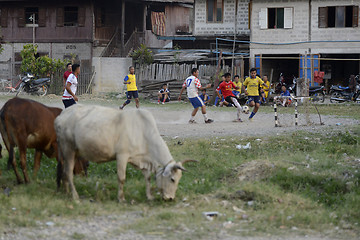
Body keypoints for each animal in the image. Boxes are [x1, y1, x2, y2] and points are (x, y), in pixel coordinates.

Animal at [54, 105, 194, 201]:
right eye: (172, 179)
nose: (170, 198)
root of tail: (61, 115)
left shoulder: (141, 159)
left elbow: (147, 178)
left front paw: (149, 196)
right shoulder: (122, 156)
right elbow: (121, 178)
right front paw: (121, 198)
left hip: (69, 152)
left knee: (64, 170)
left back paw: (66, 191)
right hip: (68, 149)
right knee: (69, 172)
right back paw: (75, 196)